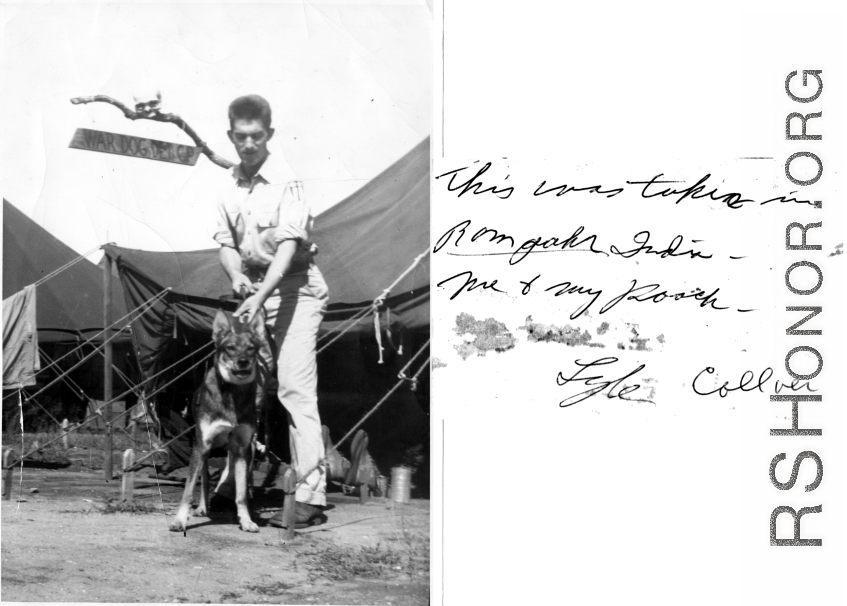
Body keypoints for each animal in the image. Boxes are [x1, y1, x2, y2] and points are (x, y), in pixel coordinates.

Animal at [169, 312, 262, 536]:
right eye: (230, 347)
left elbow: (241, 493)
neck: (232, 393)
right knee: (204, 478)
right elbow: (188, 490)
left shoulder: (241, 448)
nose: (243, 362)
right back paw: (202, 508)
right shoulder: (202, 445)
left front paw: (246, 521)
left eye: (251, 348)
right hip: (204, 450)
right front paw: (179, 521)